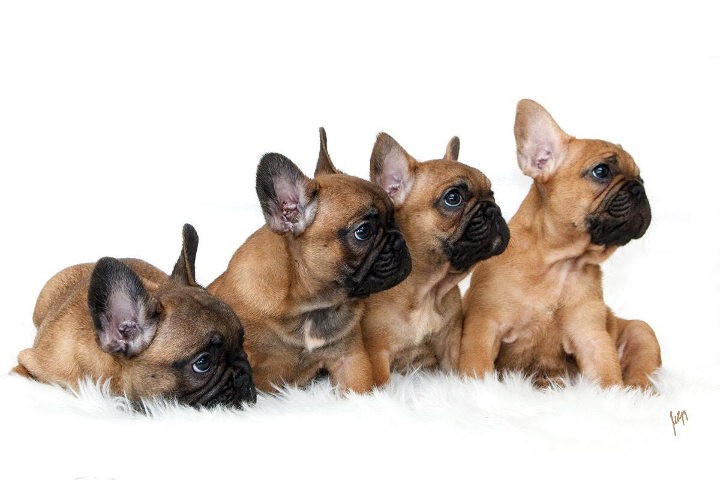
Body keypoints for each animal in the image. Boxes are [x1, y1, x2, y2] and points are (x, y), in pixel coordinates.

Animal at [361, 133, 509, 385]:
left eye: (492, 194)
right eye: (453, 198)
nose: (493, 209)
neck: (427, 291)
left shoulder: (450, 345)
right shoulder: (377, 354)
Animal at [460, 99, 661, 388]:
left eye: (641, 177)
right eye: (601, 171)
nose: (639, 187)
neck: (559, 263)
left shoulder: (591, 336)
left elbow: (607, 375)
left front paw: (613, 396)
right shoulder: (483, 327)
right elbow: (476, 367)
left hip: (641, 331)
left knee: (640, 370)